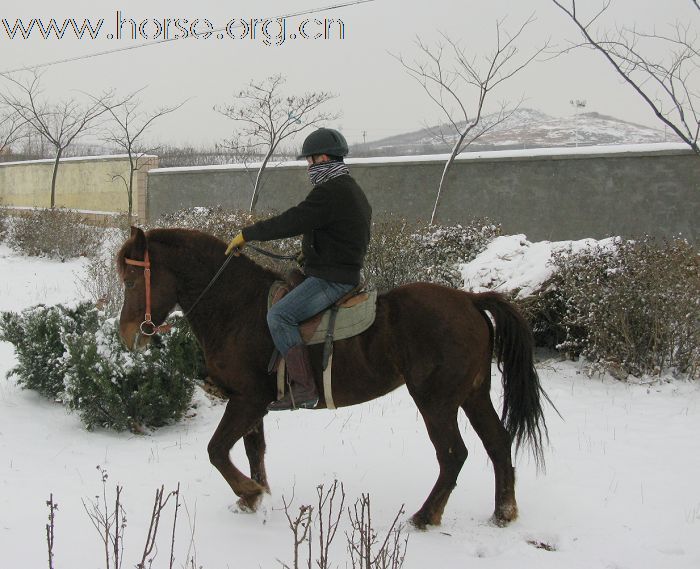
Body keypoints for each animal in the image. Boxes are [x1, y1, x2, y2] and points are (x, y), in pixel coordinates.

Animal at [116, 225, 552, 528]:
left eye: (132, 280)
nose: (128, 334)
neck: (237, 306)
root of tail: (470, 300)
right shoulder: (251, 403)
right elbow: (253, 450)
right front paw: (253, 497)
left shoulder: (247, 400)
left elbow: (217, 450)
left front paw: (249, 492)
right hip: (473, 395)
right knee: (498, 443)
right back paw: (503, 512)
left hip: (436, 402)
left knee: (453, 455)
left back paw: (425, 515)